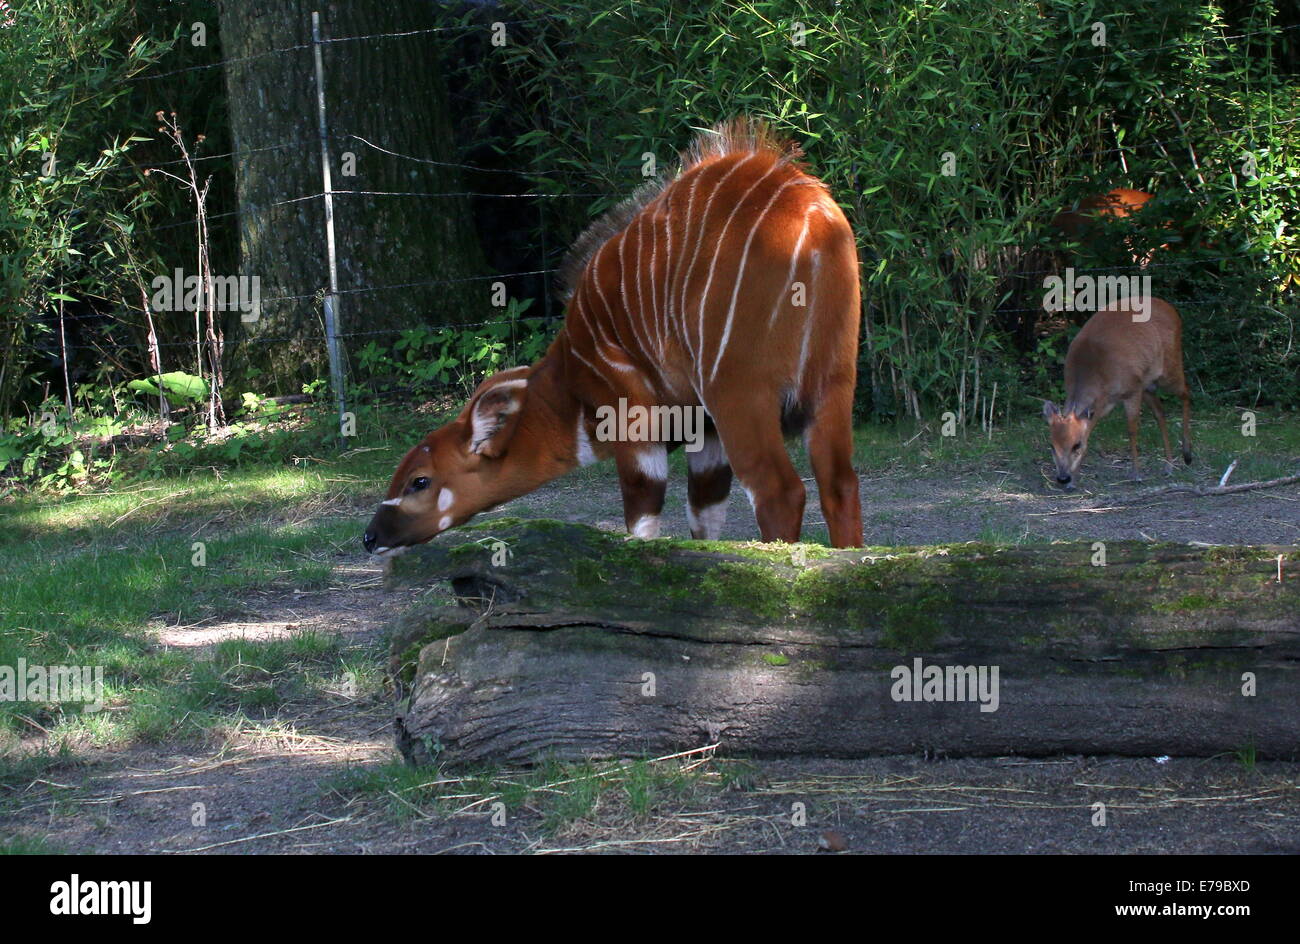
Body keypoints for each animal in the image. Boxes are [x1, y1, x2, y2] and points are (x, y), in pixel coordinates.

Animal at [361, 118, 863, 553]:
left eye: (419, 480)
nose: (369, 537)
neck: (571, 376)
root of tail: (816, 220)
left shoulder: (635, 422)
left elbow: (642, 518)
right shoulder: (703, 431)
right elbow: (703, 515)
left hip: (739, 393)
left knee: (781, 491)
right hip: (833, 384)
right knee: (839, 484)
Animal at [1040, 293, 1190, 488]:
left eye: (1076, 445)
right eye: (1052, 445)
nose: (1062, 478)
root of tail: (1172, 310)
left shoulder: (1132, 389)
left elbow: (1132, 430)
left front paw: (1136, 474)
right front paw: (1074, 481)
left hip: (1169, 368)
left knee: (1186, 393)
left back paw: (1187, 455)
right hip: (1147, 382)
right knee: (1160, 412)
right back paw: (1169, 466)